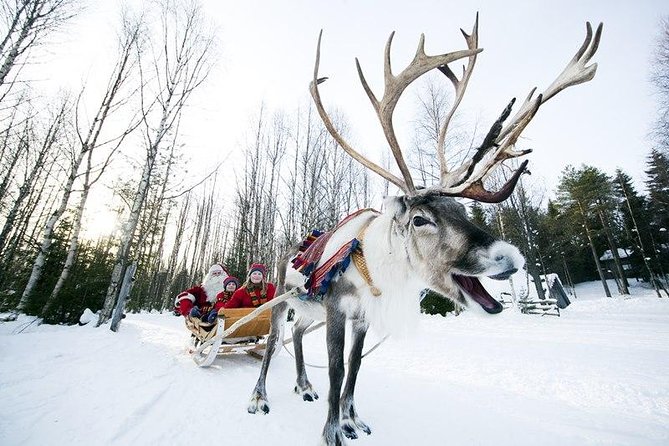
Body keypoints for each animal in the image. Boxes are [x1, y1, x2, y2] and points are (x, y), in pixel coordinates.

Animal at [245, 16, 602, 446]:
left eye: (461, 209)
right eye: (420, 219)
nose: (510, 258)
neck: (373, 265)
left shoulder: (362, 317)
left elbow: (354, 368)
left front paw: (352, 420)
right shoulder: (336, 308)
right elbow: (335, 370)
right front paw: (332, 432)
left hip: (306, 309)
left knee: (296, 335)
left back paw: (303, 385)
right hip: (282, 300)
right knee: (271, 342)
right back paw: (259, 397)